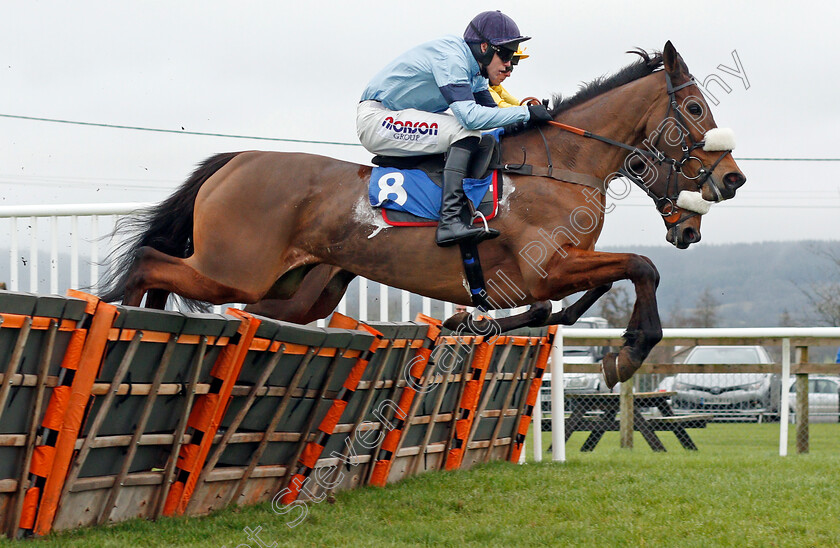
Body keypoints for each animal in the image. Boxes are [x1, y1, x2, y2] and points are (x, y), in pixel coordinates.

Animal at [101, 41, 744, 386]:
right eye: (695, 108)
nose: (732, 180)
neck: (560, 164)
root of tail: (236, 159)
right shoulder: (545, 268)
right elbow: (640, 267)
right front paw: (628, 356)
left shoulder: (556, 270)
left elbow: (578, 299)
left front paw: (471, 325)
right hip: (234, 269)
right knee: (150, 262)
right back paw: (128, 324)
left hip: (298, 290)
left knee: (230, 302)